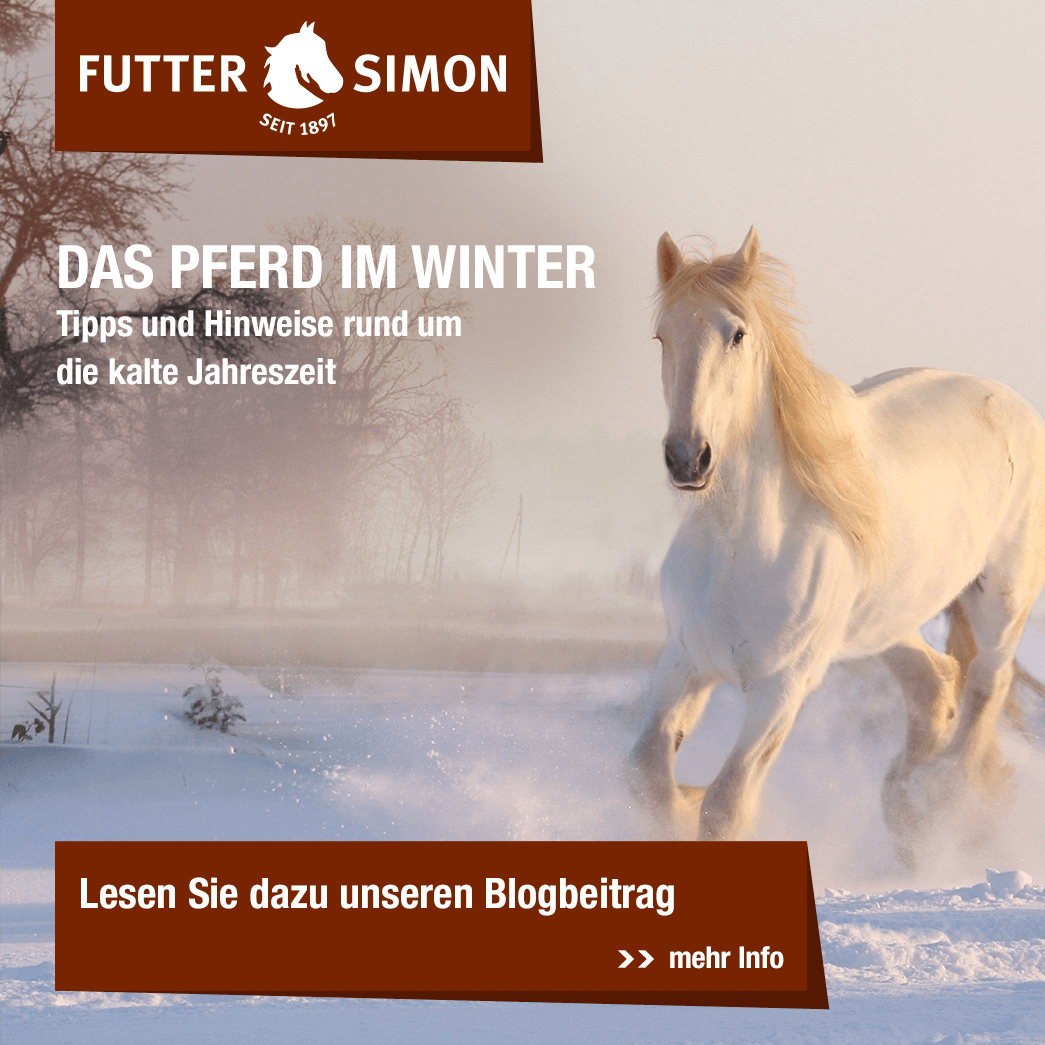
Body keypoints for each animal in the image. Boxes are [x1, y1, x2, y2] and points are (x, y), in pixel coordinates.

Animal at [629, 226, 1045, 868]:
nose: (687, 458)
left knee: (984, 689)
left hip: (1002, 598)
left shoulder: (781, 688)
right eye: (661, 335)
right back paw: (907, 811)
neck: (737, 549)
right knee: (935, 683)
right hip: (885, 620)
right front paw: (678, 803)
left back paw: (941, 808)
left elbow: (725, 804)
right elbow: (649, 777)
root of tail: (1011, 403)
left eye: (737, 333)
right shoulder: (684, 660)